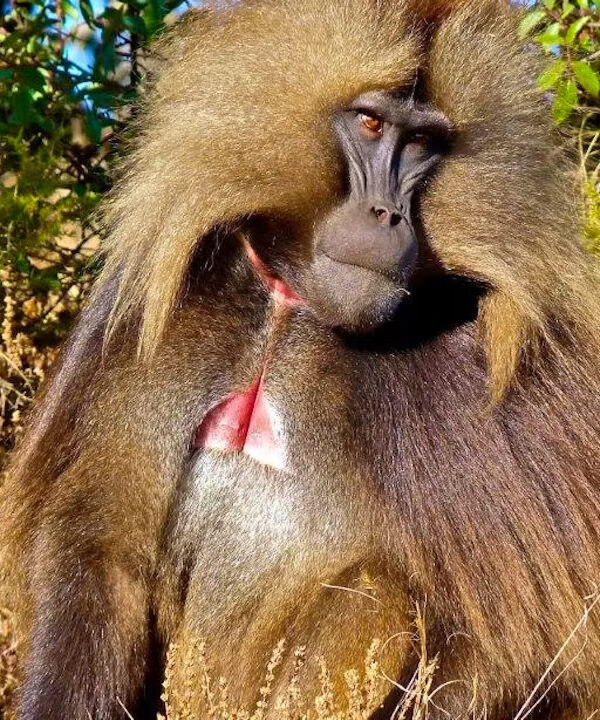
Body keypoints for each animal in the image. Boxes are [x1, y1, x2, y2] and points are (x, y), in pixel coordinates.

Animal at [3, 0, 600, 717]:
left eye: (422, 145)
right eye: (370, 124)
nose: (387, 216)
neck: (296, 306)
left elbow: (518, 651)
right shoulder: (157, 309)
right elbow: (102, 547)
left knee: (378, 589)